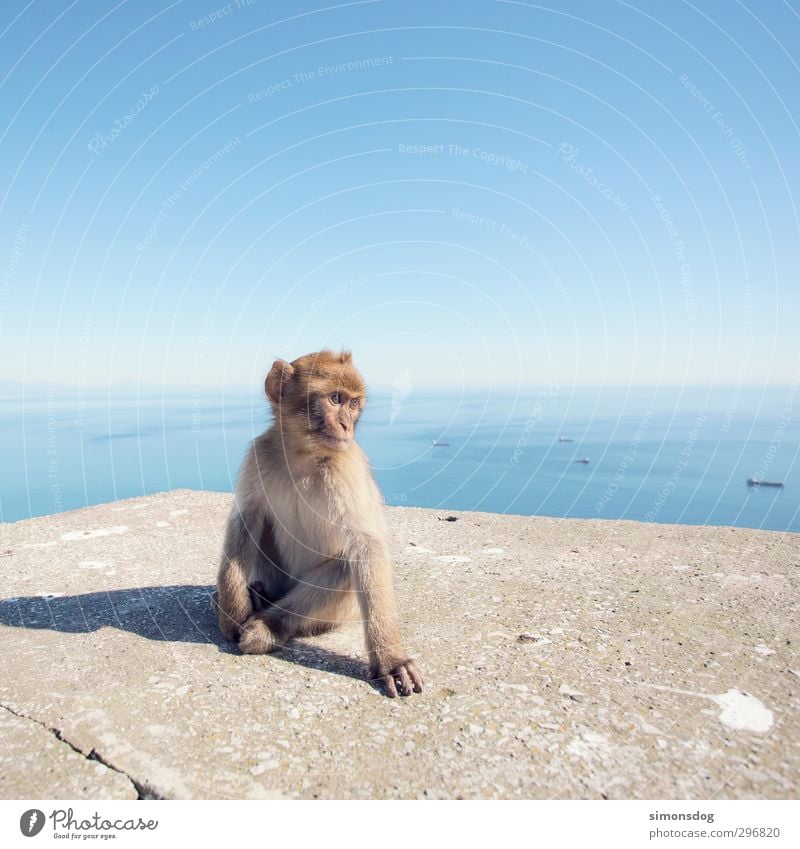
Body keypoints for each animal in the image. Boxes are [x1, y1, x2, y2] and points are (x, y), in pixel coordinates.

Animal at [216, 346, 422, 696]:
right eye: (335, 398)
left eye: (353, 404)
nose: (346, 426)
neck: (303, 454)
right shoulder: (260, 454)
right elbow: (245, 518)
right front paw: (233, 610)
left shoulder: (346, 465)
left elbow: (366, 545)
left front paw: (391, 658)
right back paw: (258, 599)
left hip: (336, 613)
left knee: (346, 562)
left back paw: (271, 624)